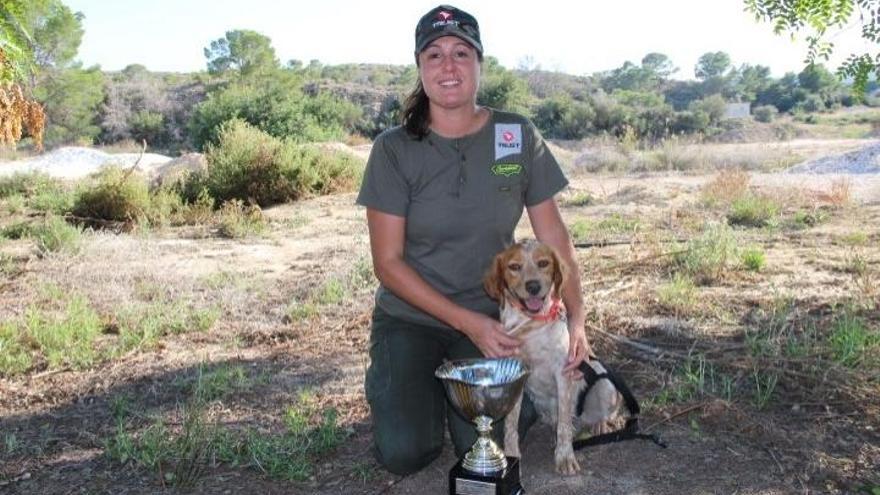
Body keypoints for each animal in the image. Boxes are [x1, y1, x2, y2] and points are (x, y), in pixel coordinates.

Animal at [484, 240, 624, 476]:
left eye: (543, 263)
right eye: (514, 267)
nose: (533, 286)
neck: (531, 323)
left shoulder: (564, 374)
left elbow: (564, 427)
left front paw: (565, 457)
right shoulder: (514, 375)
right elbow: (511, 425)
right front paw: (511, 456)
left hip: (605, 386)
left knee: (597, 416)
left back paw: (599, 425)